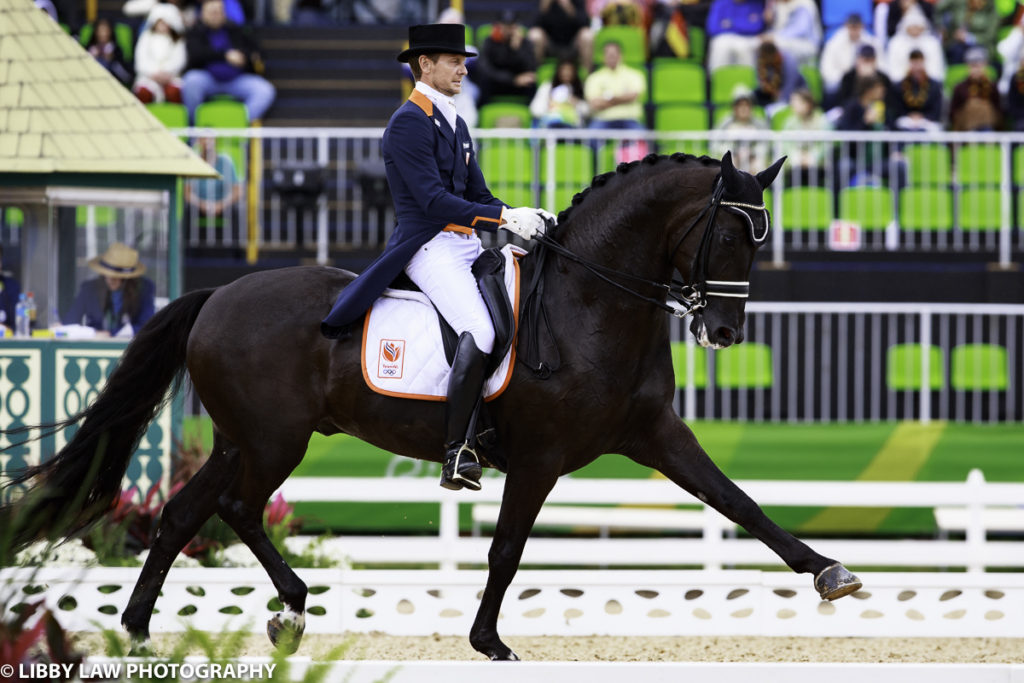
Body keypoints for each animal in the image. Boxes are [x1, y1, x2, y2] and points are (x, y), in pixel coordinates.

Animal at [0, 152, 860, 659]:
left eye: (762, 239)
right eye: (730, 236)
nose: (723, 331)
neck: (592, 301)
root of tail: (217, 296)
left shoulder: (654, 433)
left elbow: (739, 502)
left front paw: (829, 574)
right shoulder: (540, 458)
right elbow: (507, 548)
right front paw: (488, 640)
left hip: (240, 437)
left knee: (184, 513)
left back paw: (141, 629)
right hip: (275, 439)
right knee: (239, 507)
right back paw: (290, 606)